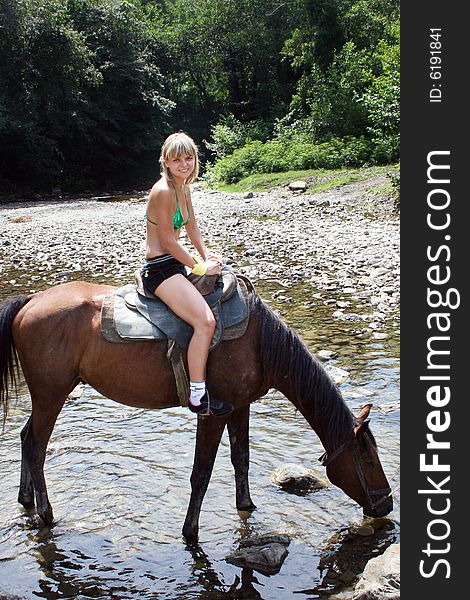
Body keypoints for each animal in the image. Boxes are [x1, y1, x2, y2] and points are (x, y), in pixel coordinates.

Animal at [0, 282, 392, 544]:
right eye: (368, 459)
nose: (386, 504)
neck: (259, 342)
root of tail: (32, 300)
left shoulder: (240, 406)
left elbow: (241, 459)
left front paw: (247, 506)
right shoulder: (213, 415)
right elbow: (201, 474)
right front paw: (190, 532)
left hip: (45, 396)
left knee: (25, 437)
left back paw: (25, 500)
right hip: (51, 394)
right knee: (36, 446)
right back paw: (47, 514)